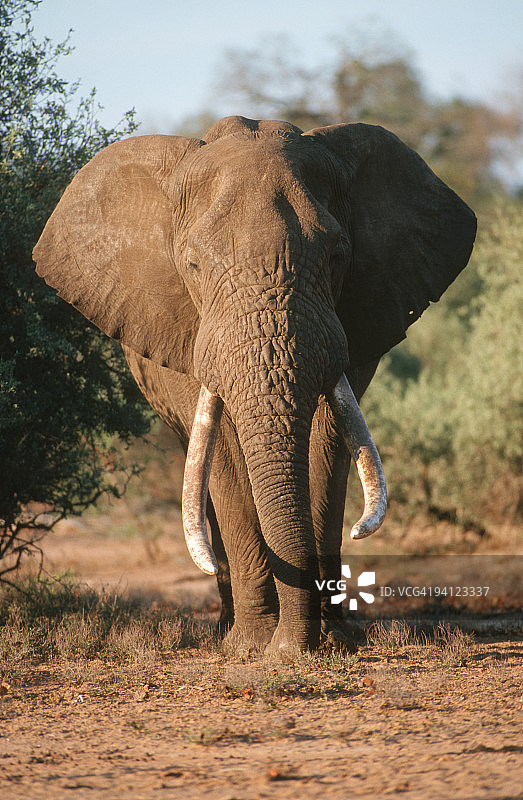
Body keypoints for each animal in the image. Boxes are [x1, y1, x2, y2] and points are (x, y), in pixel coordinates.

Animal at [33, 115, 476, 656]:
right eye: (194, 266)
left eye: (336, 257)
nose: (292, 647)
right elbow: (223, 450)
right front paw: (253, 645)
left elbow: (329, 440)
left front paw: (329, 640)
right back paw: (227, 629)